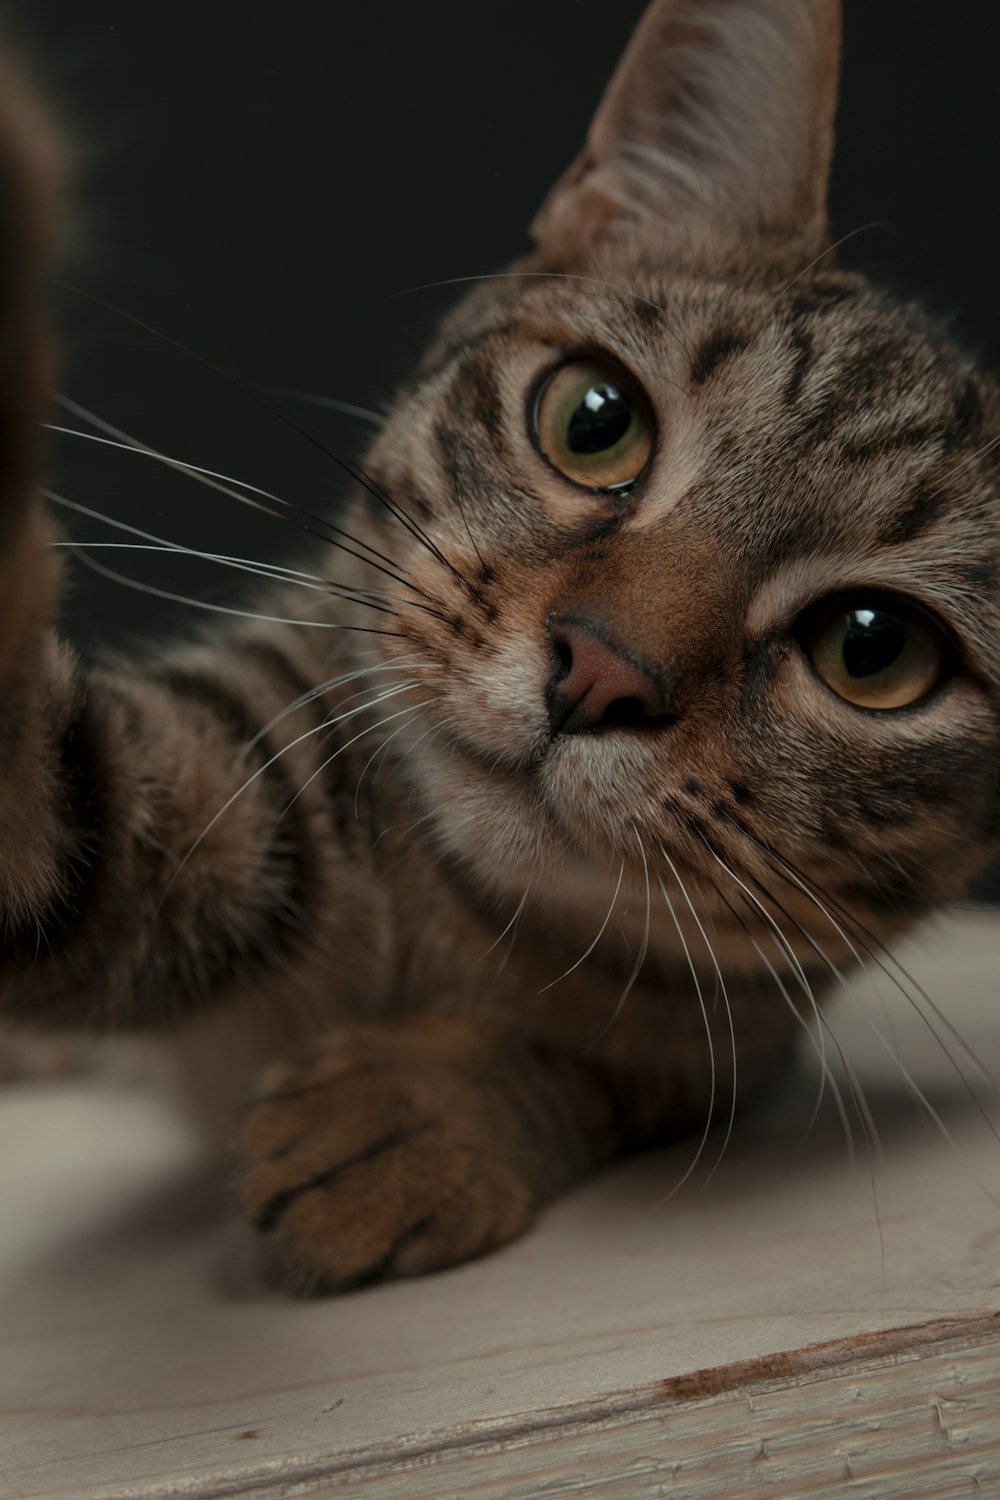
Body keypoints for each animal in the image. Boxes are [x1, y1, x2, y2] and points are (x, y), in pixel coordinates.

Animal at [1, 0, 1000, 1290]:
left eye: (872, 649)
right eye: (594, 418)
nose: (601, 671)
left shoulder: (738, 1049)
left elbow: (605, 1073)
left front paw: (426, 1113)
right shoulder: (231, 774)